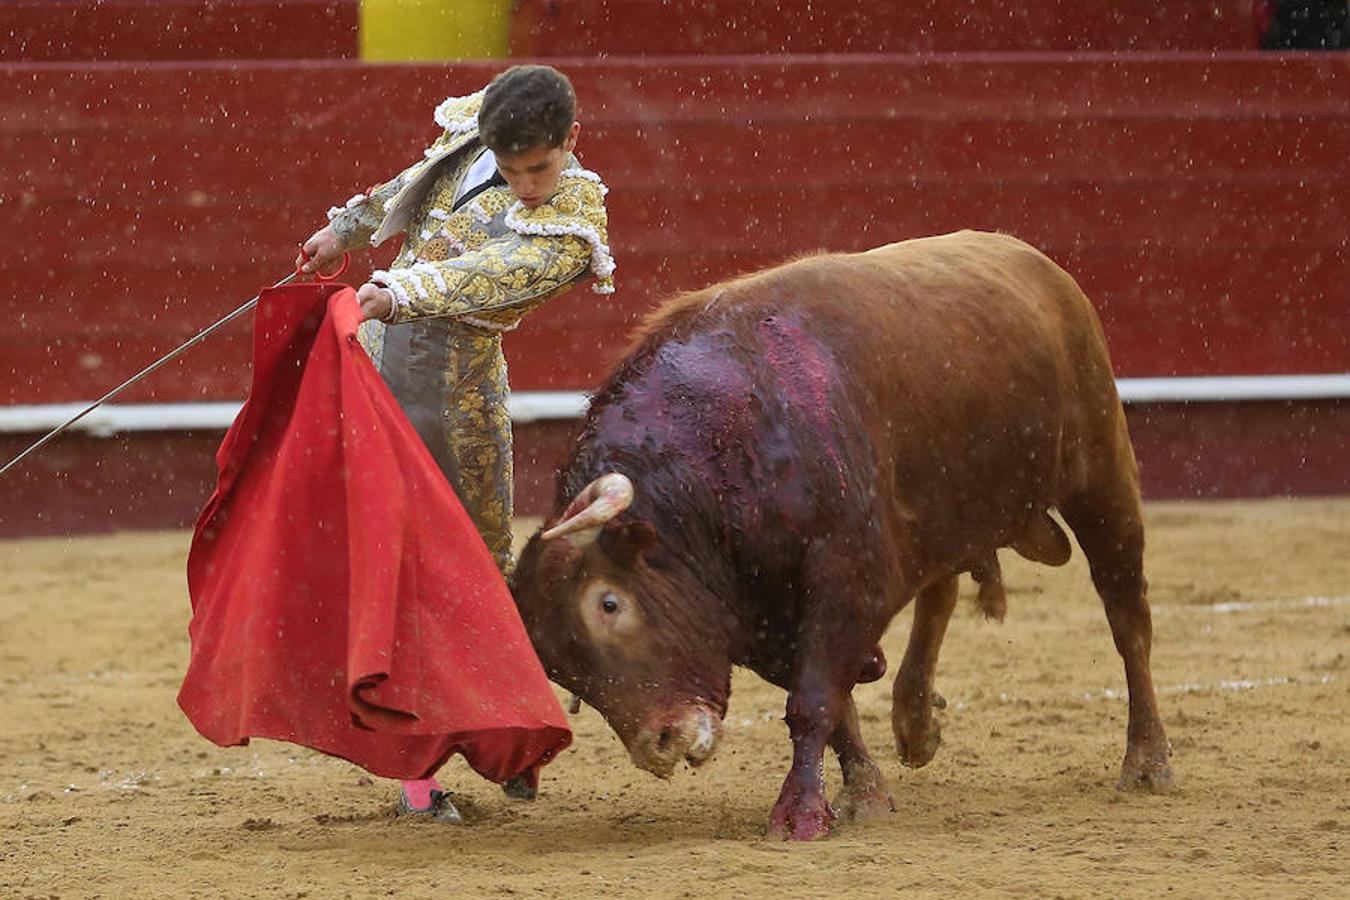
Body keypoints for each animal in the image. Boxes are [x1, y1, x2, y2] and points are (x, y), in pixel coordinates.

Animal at [507, 230, 1171, 836]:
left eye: (609, 604)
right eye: (559, 668)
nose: (662, 744)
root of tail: (1033, 260)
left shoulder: (846, 580)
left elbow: (813, 700)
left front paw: (799, 814)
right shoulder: (757, 614)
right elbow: (837, 704)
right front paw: (863, 793)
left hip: (1103, 475)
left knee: (1126, 614)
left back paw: (1147, 762)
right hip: (947, 510)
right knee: (941, 590)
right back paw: (915, 722)